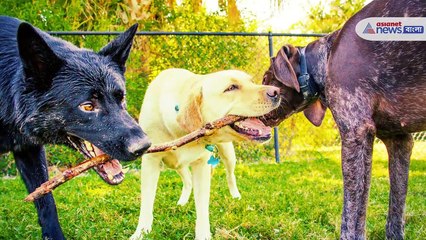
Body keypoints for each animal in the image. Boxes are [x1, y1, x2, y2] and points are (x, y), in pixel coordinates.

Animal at [262, 0, 426, 239]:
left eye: (266, 78)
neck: (325, 59)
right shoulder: (399, 141)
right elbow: (394, 213)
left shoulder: (354, 132)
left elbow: (350, 215)